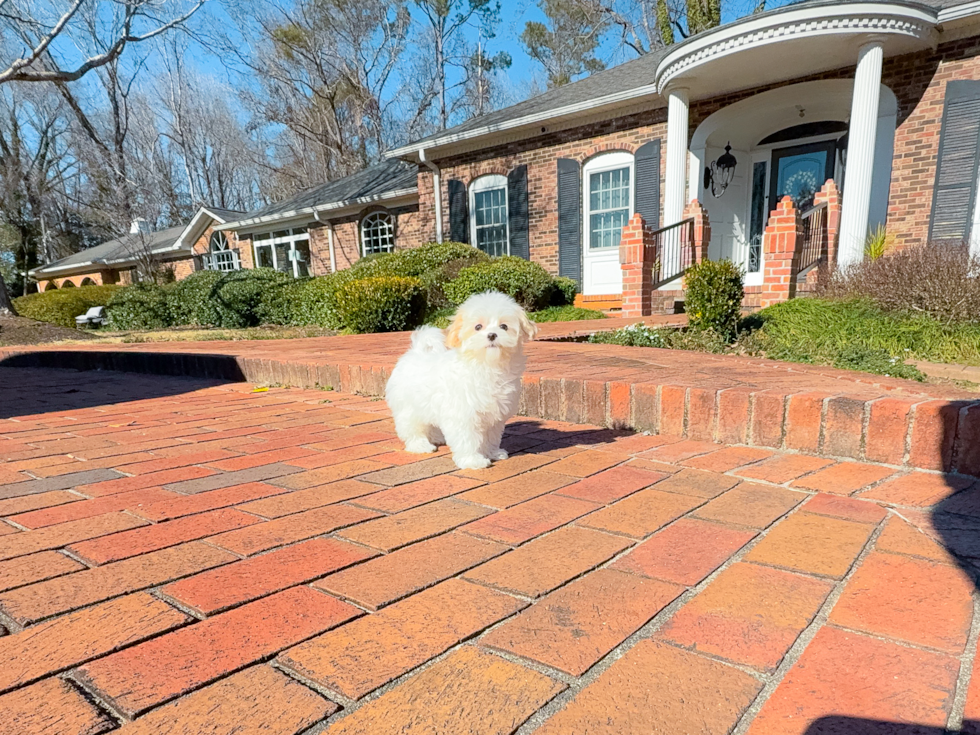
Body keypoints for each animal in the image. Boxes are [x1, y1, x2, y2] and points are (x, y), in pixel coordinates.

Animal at [384, 290, 536, 468]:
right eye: (478, 327)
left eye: (504, 326)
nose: (492, 335)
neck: (486, 364)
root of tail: (415, 352)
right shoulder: (463, 414)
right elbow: (467, 439)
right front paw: (472, 460)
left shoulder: (494, 415)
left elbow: (491, 437)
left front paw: (492, 453)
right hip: (409, 407)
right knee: (411, 427)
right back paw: (420, 445)